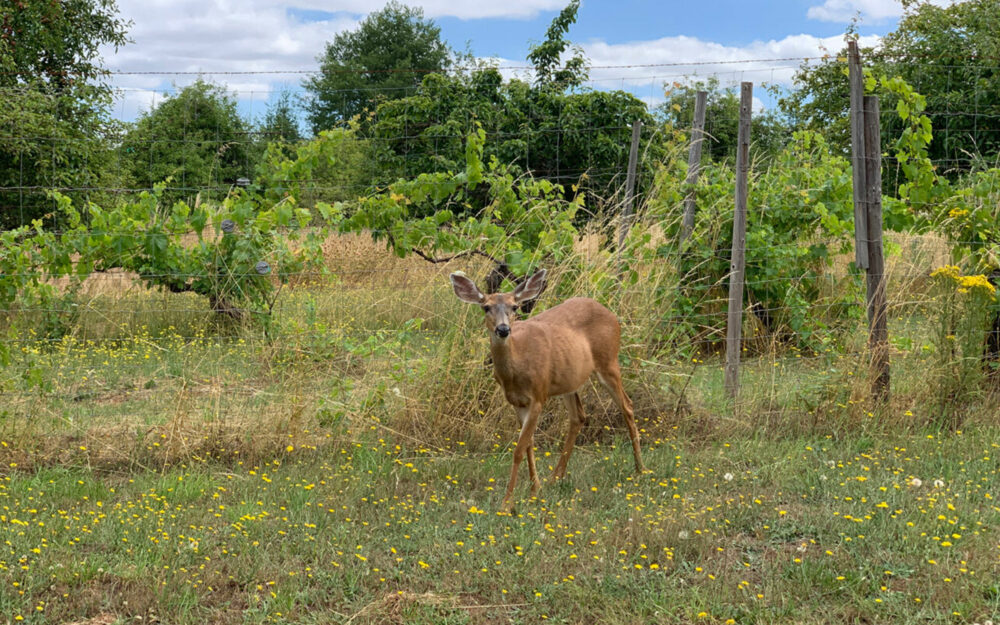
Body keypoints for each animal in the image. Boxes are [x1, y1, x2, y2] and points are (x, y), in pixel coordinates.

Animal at [450, 268, 646, 512]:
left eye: (514, 306)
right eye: (486, 307)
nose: (503, 329)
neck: (516, 367)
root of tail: (611, 314)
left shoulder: (538, 396)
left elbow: (519, 449)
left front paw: (506, 503)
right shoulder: (516, 401)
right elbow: (528, 445)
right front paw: (536, 489)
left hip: (608, 361)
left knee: (627, 406)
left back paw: (640, 469)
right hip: (569, 379)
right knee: (579, 416)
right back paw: (555, 477)